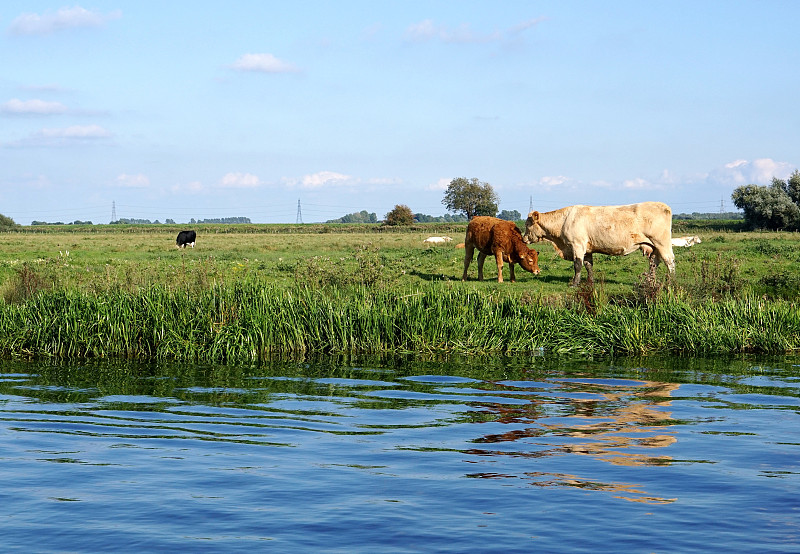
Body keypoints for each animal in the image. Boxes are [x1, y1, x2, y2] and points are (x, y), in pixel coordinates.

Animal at [524, 201, 676, 284]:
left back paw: (671, 282)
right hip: (654, 246)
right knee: (654, 263)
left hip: (662, 243)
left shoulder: (577, 244)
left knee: (669, 261)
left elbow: (577, 265)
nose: (524, 238)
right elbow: (588, 265)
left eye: (527, 224)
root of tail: (664, 206)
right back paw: (650, 281)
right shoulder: (587, 249)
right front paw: (590, 282)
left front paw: (574, 283)